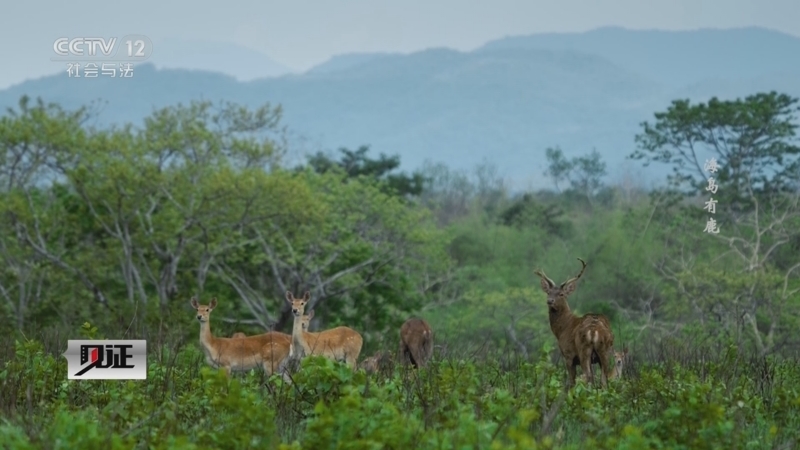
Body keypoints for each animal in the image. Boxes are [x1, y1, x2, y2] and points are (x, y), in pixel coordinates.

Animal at [534, 258, 615, 389]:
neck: (562, 329)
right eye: (548, 292)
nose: (550, 301)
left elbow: (571, 380)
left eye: (561, 294)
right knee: (603, 378)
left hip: (583, 350)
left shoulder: (568, 354)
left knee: (588, 376)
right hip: (605, 350)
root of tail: (594, 331)